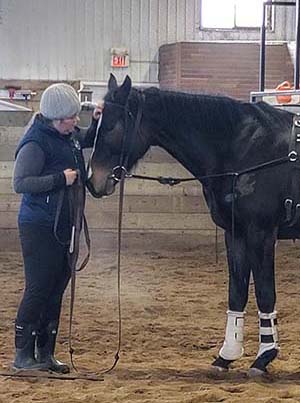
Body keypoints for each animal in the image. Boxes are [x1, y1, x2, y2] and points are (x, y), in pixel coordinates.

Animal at [85, 74, 298, 378]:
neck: (244, 148)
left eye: (112, 126)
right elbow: (237, 291)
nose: (93, 180)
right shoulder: (235, 234)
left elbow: (265, 292)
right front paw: (226, 356)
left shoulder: (261, 233)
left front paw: (263, 357)